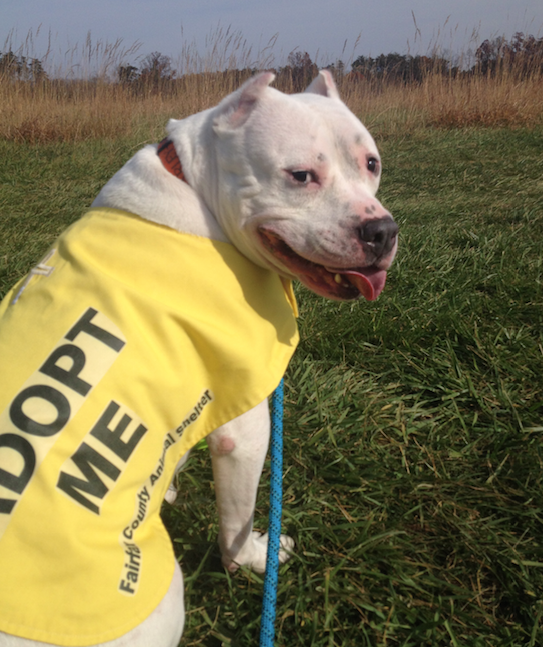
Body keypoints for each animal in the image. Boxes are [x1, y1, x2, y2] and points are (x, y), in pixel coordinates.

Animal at [0, 72, 400, 647]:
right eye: (300, 176)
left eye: (372, 163)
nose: (381, 231)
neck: (192, 186)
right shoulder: (246, 426)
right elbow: (238, 518)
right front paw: (252, 558)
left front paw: (166, 485)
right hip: (162, 594)